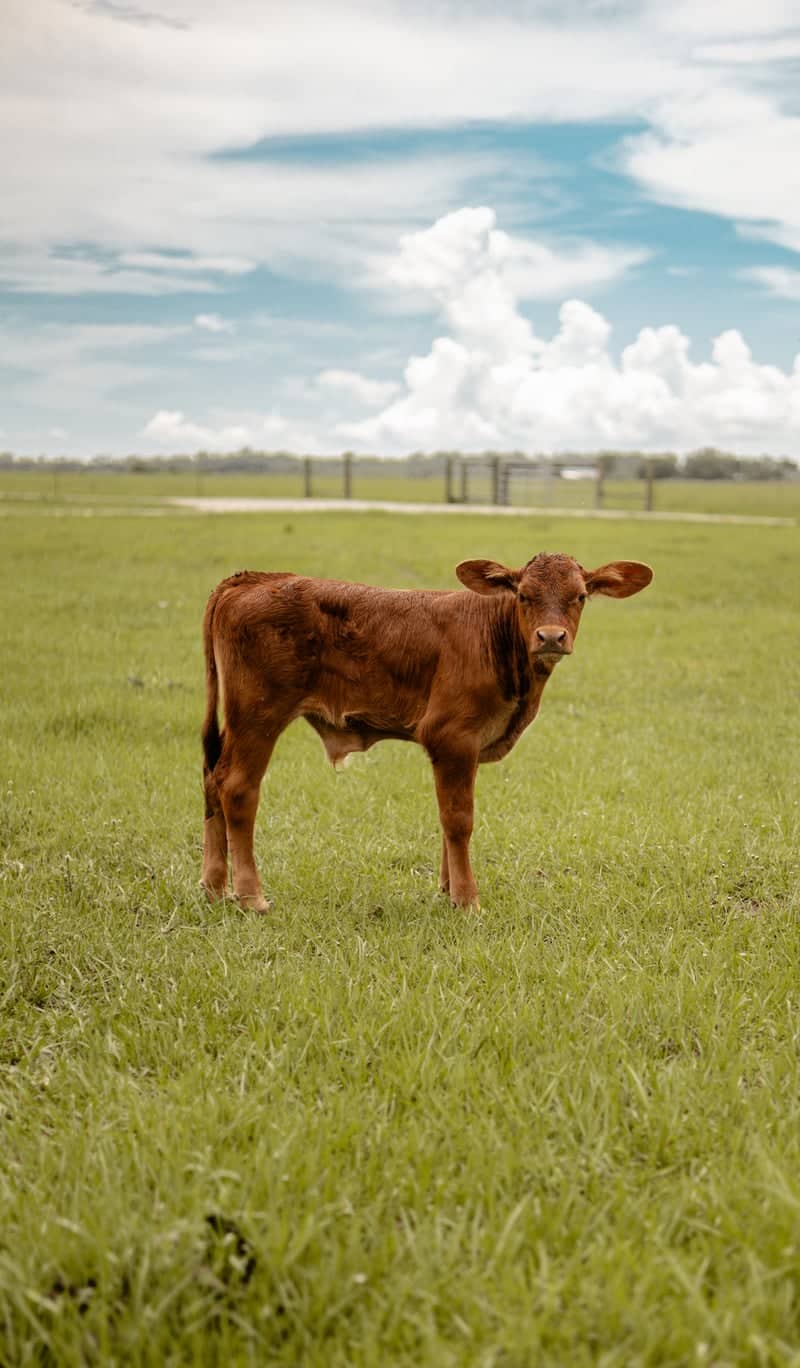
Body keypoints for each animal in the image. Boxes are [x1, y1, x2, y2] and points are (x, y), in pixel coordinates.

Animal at [200, 552, 653, 913]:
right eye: (524, 595)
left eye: (580, 596)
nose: (551, 637)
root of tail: (254, 578)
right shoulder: (451, 736)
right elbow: (459, 819)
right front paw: (467, 899)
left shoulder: (465, 749)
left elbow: (447, 818)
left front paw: (449, 888)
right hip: (259, 716)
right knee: (238, 789)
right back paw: (251, 896)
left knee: (211, 780)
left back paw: (215, 886)